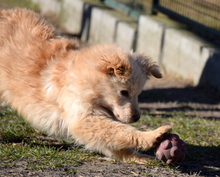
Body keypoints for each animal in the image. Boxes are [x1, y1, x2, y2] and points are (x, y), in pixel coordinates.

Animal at [0, 7, 171, 163]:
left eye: (138, 94)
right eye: (124, 92)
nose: (137, 118)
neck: (88, 83)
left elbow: (115, 142)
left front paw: (142, 157)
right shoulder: (83, 118)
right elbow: (121, 130)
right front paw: (153, 136)